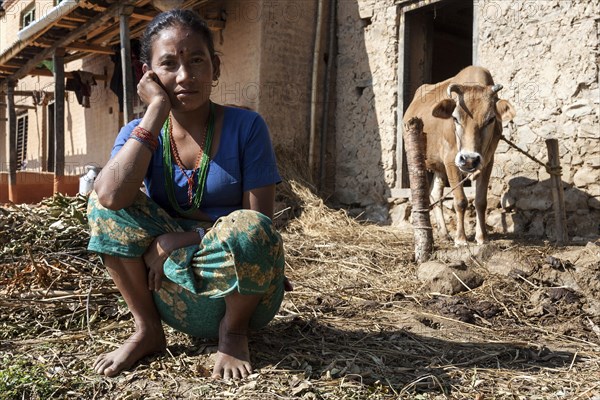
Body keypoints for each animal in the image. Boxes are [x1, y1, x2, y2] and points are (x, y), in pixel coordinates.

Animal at [406, 66, 516, 244]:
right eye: (455, 118)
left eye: (491, 119)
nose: (469, 159)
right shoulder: (451, 160)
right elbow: (460, 201)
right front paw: (461, 239)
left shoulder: (487, 162)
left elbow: (480, 201)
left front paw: (482, 237)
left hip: (439, 168)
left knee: (435, 194)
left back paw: (444, 233)